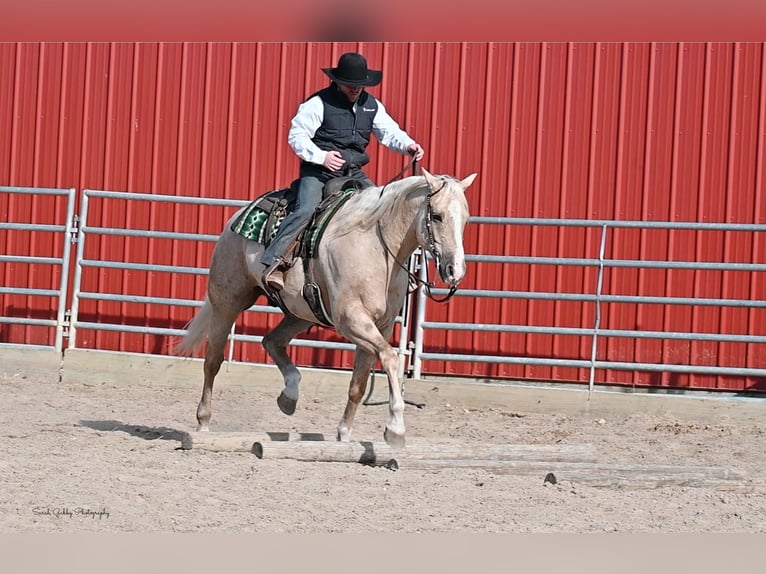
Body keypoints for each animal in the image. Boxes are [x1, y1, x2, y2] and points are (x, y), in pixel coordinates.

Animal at [177, 169, 476, 448]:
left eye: (466, 219)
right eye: (436, 215)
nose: (455, 271)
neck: (375, 248)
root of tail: (236, 219)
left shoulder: (381, 326)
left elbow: (359, 385)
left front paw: (344, 434)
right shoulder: (352, 321)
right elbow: (391, 358)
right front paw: (395, 429)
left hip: (300, 312)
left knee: (272, 341)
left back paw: (289, 396)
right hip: (227, 302)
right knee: (213, 360)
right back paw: (203, 422)